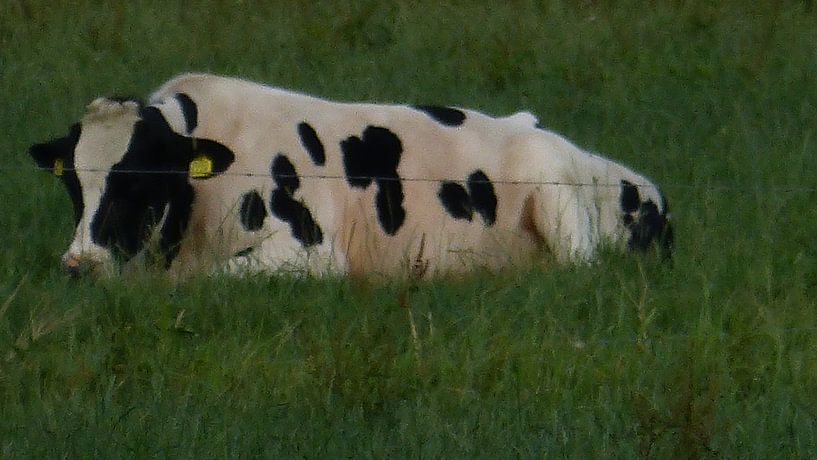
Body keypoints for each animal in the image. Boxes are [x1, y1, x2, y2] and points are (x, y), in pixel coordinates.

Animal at [29, 73, 672, 278]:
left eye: (139, 178)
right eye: (72, 184)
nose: (78, 265)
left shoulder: (310, 254)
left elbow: (211, 279)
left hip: (553, 192)